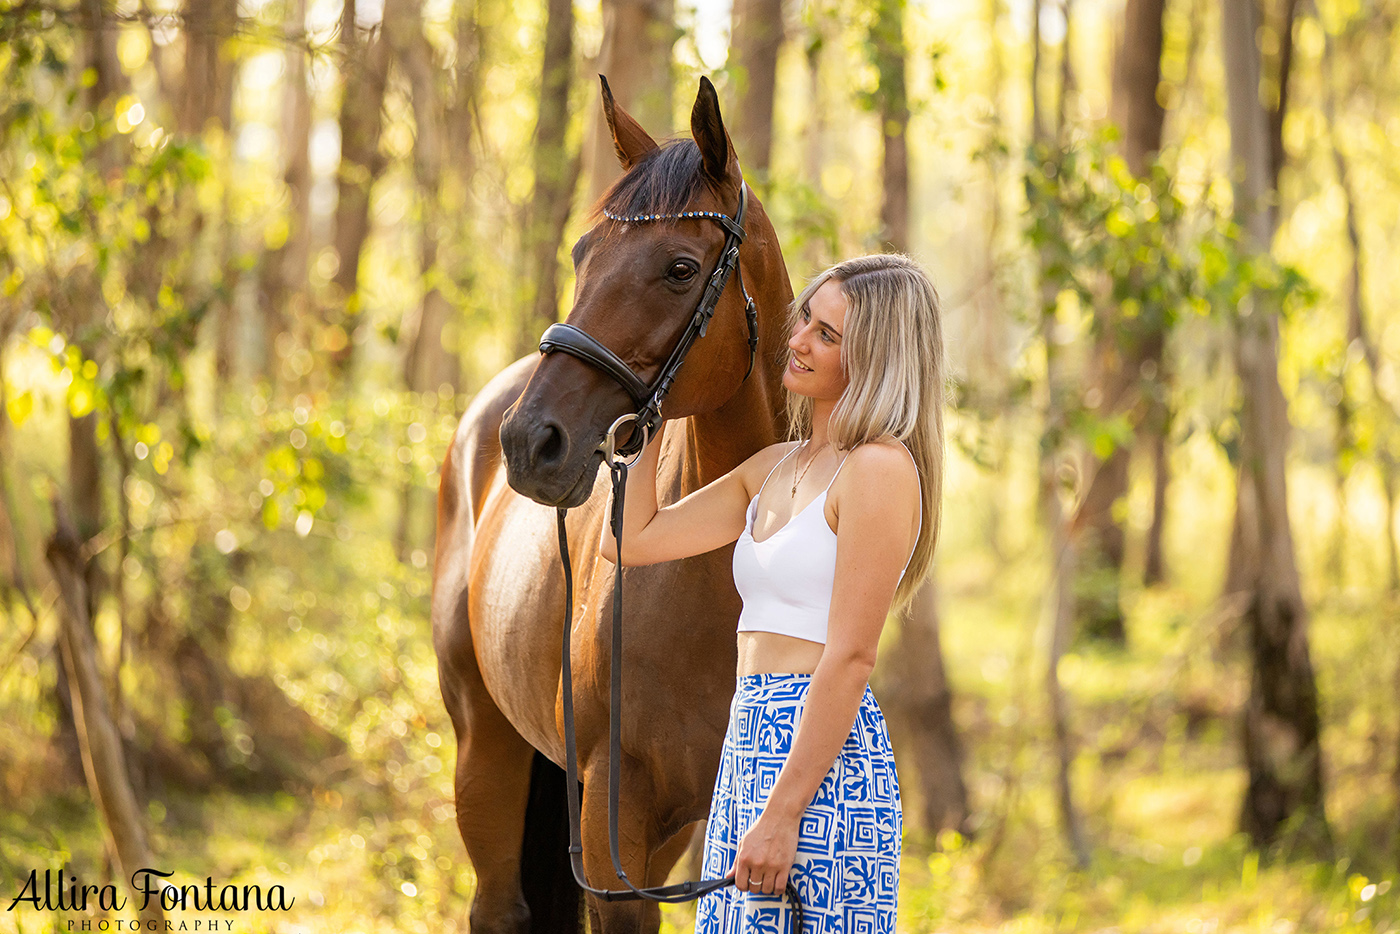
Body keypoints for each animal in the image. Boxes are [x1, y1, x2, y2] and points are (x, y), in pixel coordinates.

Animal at [431, 80, 795, 934]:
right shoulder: (610, 824)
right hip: (486, 748)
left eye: (680, 267)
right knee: (497, 906)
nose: (531, 441)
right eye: (581, 254)